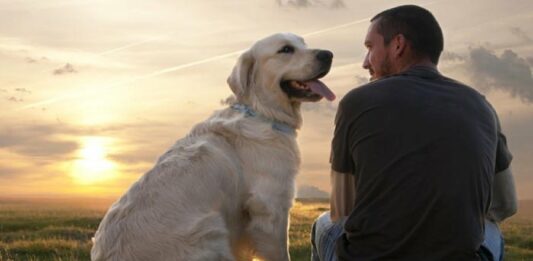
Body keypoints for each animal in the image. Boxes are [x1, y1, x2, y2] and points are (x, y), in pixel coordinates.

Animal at [90, 33, 332, 260]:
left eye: (304, 43)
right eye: (286, 50)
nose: (328, 54)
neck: (261, 112)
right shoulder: (271, 208)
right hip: (210, 228)